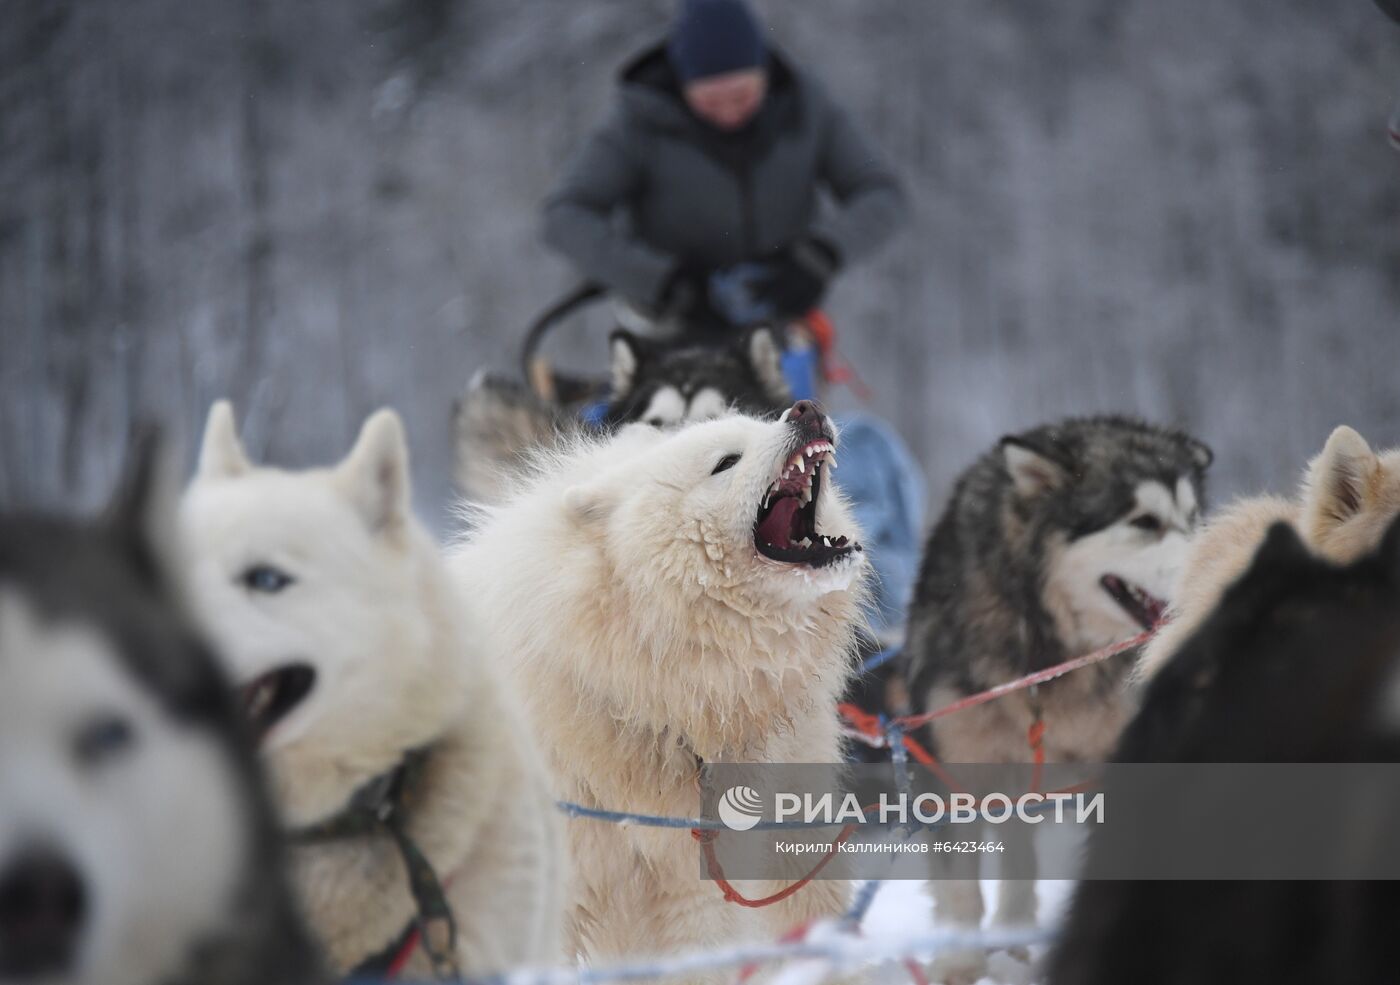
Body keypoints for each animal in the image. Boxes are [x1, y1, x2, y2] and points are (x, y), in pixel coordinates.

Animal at [901, 414, 1209, 985]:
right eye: (1144, 520)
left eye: (1193, 517)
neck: (1051, 655)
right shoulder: (957, 765)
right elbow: (961, 888)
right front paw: (960, 963)